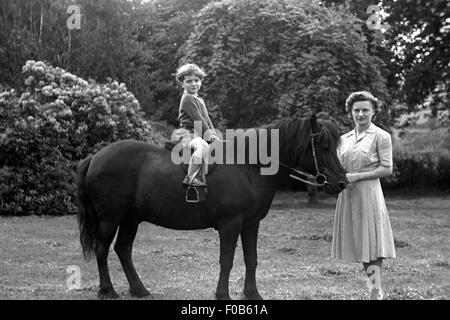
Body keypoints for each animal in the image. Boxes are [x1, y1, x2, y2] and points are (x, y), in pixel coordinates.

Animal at [75, 115, 346, 300]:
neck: (249, 166)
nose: (342, 181)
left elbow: (251, 259)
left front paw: (252, 294)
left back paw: (139, 289)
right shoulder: (230, 225)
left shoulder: (251, 224)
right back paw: (107, 290)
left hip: (131, 219)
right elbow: (226, 260)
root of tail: (95, 157)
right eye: (322, 145)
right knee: (102, 249)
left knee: (123, 249)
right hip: (110, 219)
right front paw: (222, 294)